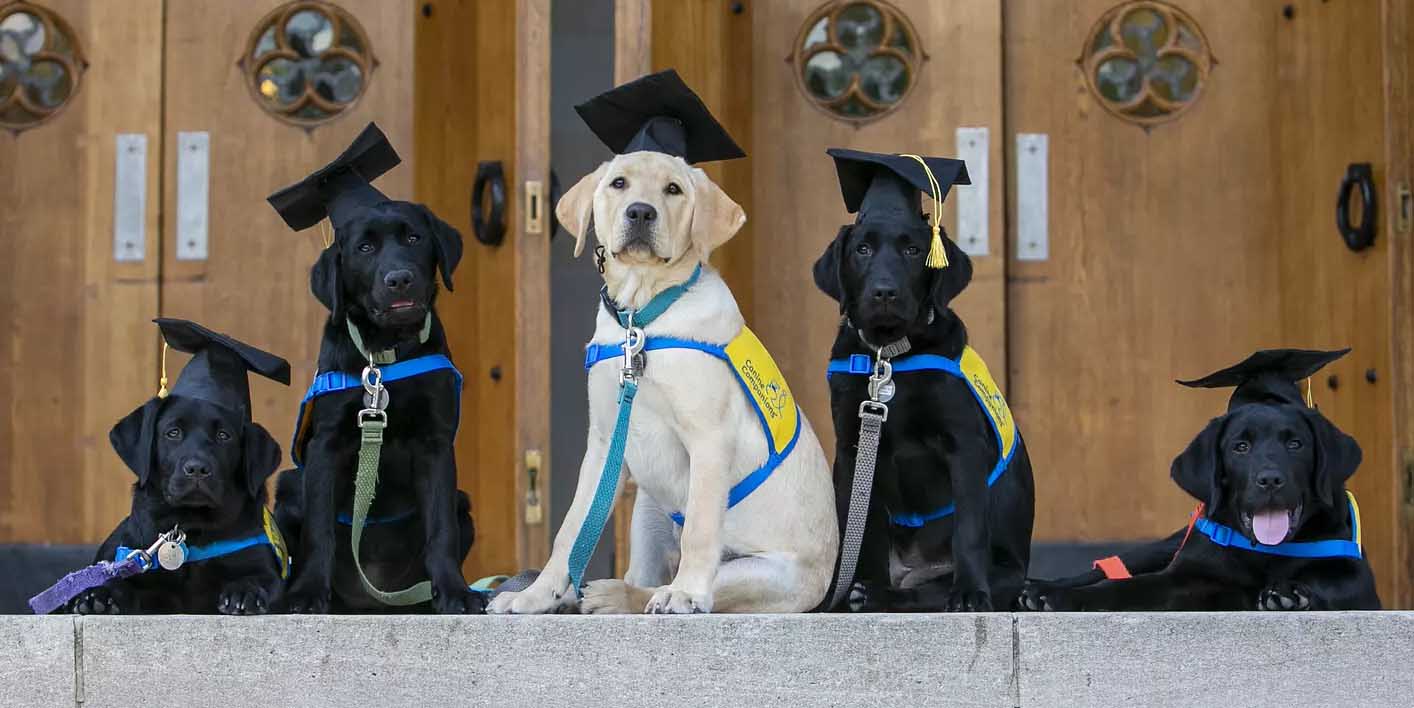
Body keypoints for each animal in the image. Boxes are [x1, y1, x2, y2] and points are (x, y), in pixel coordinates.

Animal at [267, 124, 483, 610]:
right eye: (365, 248)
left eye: (414, 239)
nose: (399, 278)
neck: (385, 353)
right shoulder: (326, 445)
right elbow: (320, 532)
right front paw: (307, 594)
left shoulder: (435, 444)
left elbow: (439, 529)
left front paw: (455, 592)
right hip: (289, 485)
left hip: (463, 500)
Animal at [489, 150, 831, 613]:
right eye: (619, 184)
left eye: (674, 189)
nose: (640, 212)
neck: (643, 315)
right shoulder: (603, 442)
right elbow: (571, 530)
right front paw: (535, 596)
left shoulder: (709, 438)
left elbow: (700, 529)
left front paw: (686, 592)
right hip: (648, 507)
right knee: (644, 573)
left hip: (763, 574)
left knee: (668, 583)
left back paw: (625, 595)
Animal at [814, 147, 1035, 607]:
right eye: (862, 249)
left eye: (914, 251)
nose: (884, 292)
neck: (889, 356)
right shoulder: (851, 447)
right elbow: (853, 528)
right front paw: (839, 594)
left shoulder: (963, 445)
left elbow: (969, 528)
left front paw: (969, 593)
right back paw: (862, 592)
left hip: (1003, 572)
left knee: (925, 593)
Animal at [1023, 350, 1374, 610]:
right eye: (1240, 447)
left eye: (1295, 444)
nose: (1270, 480)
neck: (1265, 552)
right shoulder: (1182, 577)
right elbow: (1122, 586)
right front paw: (1059, 596)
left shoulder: (1357, 579)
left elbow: (1331, 585)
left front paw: (1290, 593)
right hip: (1161, 548)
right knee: (1106, 569)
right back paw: (1038, 588)